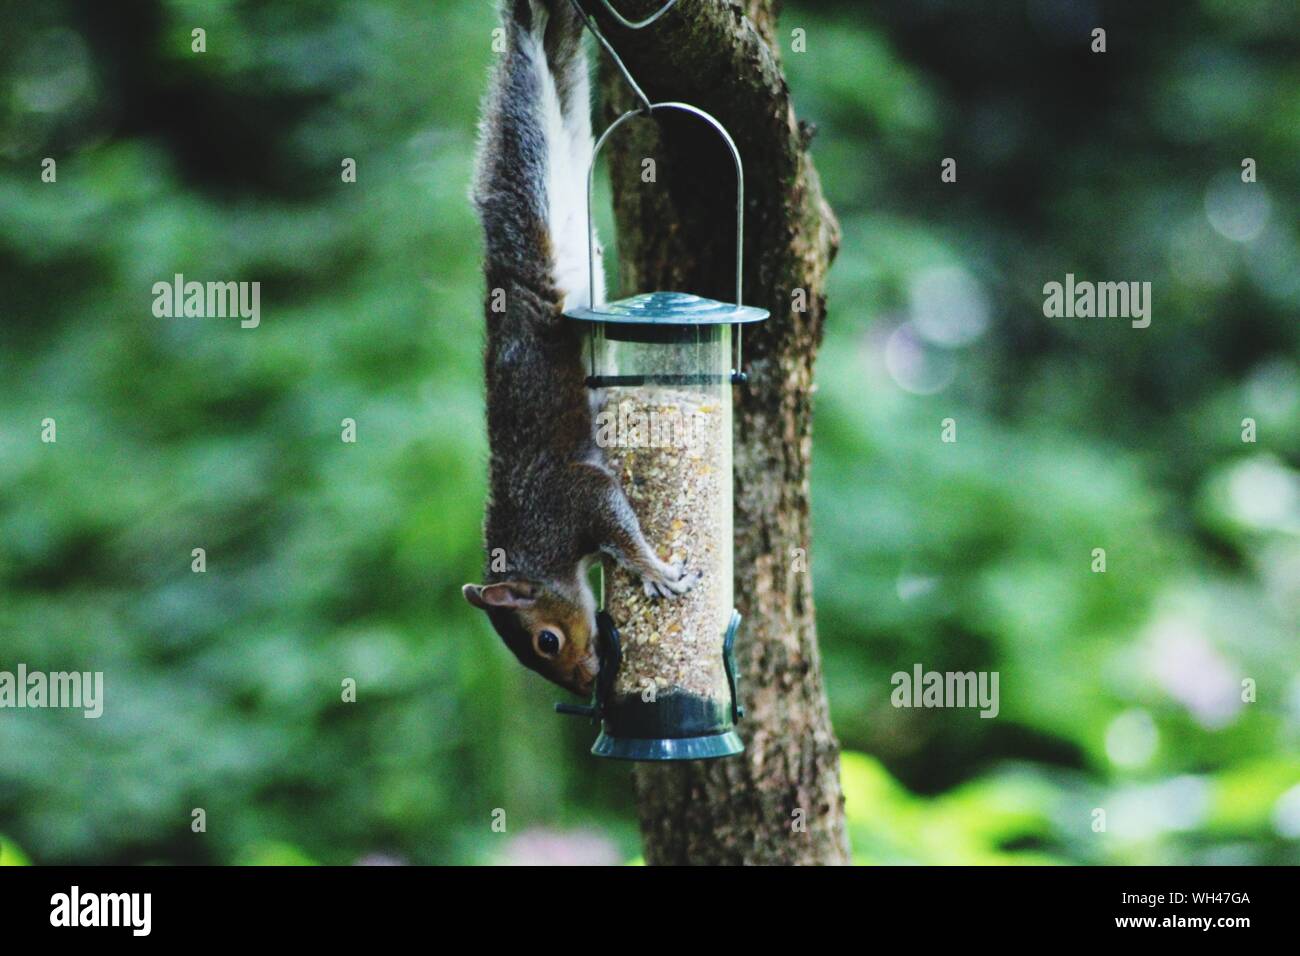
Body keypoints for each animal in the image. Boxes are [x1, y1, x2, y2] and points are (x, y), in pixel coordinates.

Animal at [462, 0, 699, 698]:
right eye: (536, 655)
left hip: (530, 187)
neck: (534, 548)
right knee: (559, 67)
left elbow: (617, 522)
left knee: (528, 91)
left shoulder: (572, 498)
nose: (587, 682)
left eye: (547, 640)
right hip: (566, 126)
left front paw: (655, 569)